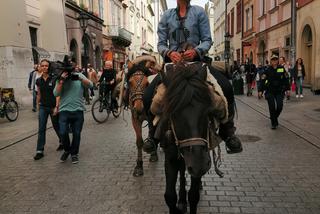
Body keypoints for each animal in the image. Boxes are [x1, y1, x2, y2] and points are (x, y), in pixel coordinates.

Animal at [161, 62, 216, 214]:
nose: (199, 163)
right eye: (173, 114)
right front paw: (177, 202)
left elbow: (193, 195)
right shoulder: (170, 157)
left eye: (208, 111)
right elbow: (169, 196)